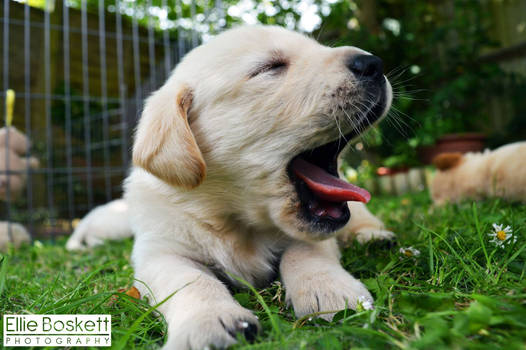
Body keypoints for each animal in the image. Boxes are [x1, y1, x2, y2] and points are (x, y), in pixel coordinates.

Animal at [126, 26, 394, 348]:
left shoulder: (313, 235)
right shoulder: (157, 250)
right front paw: (208, 321)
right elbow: (187, 279)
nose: (373, 64)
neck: (234, 220)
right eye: (270, 67)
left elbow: (305, 251)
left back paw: (375, 237)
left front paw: (329, 291)